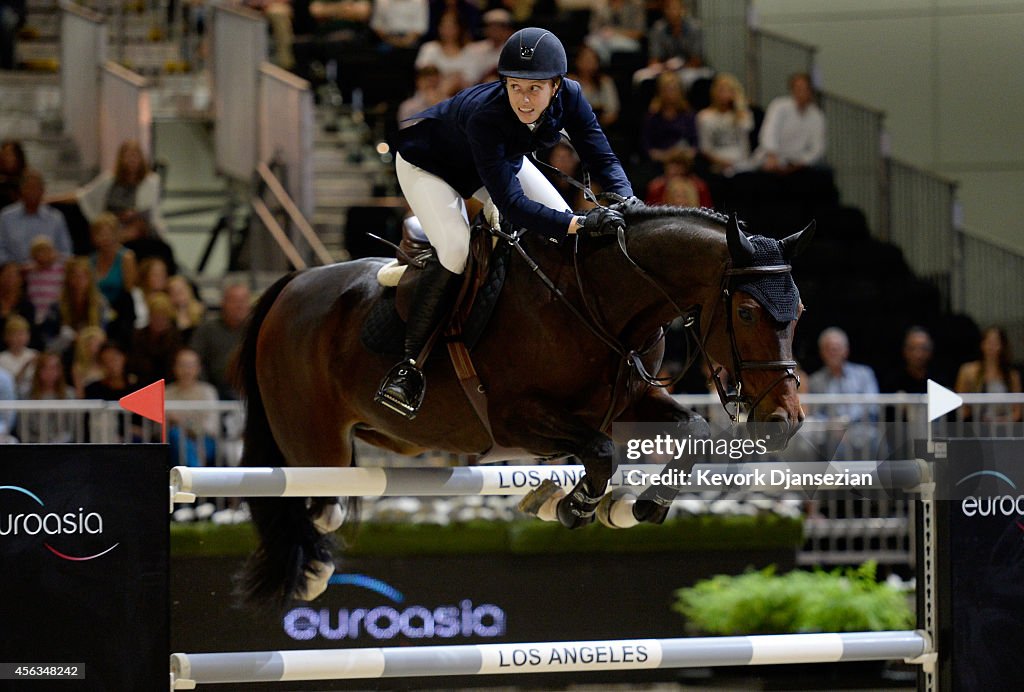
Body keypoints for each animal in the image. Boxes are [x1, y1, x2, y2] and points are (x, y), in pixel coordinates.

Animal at [235, 206, 811, 606]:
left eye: (801, 309)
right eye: (746, 311)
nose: (784, 421)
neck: (596, 302)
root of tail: (291, 284)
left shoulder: (628, 404)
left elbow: (693, 432)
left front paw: (636, 506)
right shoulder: (517, 421)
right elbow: (600, 453)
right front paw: (573, 506)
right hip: (315, 446)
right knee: (314, 504)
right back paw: (312, 575)